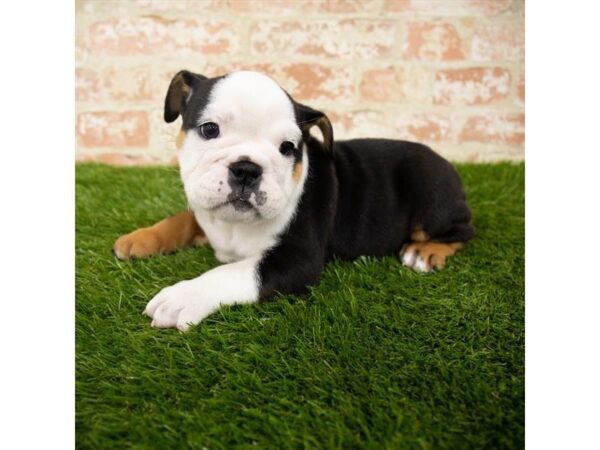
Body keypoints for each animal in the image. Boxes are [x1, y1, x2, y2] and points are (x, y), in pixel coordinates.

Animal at [113, 70, 474, 330]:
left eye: (287, 147)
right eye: (209, 129)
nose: (247, 169)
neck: (232, 227)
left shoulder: (296, 261)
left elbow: (233, 273)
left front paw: (183, 296)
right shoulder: (206, 211)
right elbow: (184, 219)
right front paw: (140, 239)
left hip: (432, 200)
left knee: (463, 231)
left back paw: (425, 252)